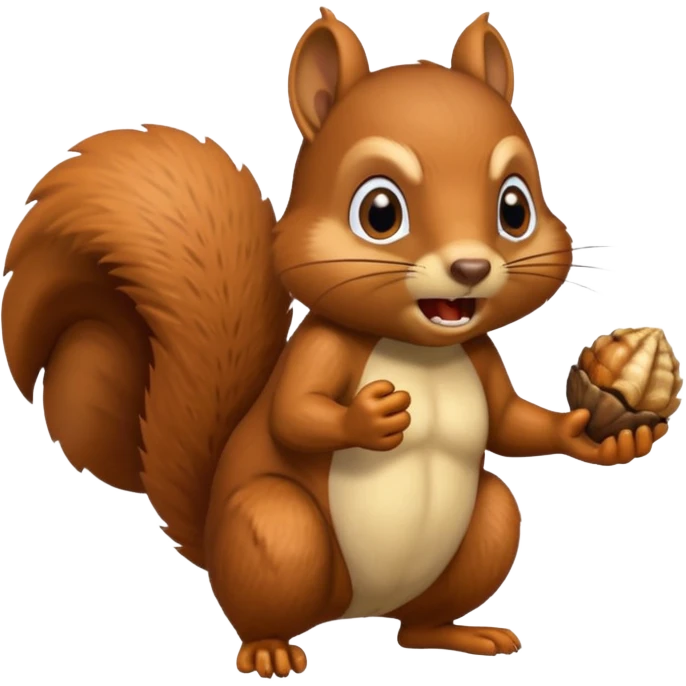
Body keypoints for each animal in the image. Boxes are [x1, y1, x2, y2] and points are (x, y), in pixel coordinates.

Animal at [1, 9, 669, 679]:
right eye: (379, 213)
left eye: (515, 207)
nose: (471, 267)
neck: (421, 347)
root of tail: (358, 611)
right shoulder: (322, 346)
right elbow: (295, 415)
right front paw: (371, 417)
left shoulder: (479, 355)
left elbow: (510, 422)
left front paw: (596, 436)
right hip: (276, 532)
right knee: (267, 594)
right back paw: (268, 650)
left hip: (482, 532)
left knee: (426, 613)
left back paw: (458, 634)